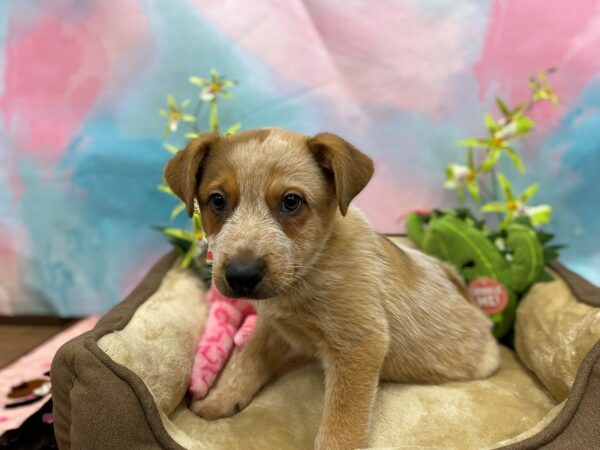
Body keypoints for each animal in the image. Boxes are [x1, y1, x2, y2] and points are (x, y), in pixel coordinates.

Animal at [165, 128, 502, 448]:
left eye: (291, 201)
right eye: (217, 200)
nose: (241, 275)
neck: (308, 273)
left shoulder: (359, 345)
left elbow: (342, 424)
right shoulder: (272, 324)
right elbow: (248, 360)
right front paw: (222, 398)